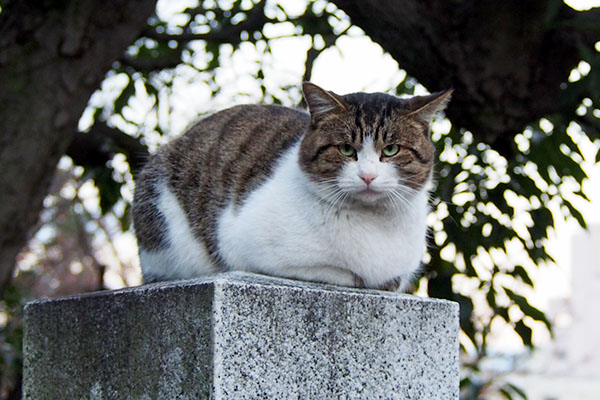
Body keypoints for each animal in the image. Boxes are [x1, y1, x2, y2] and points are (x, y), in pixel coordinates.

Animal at [132, 83, 450, 292]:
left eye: (392, 149)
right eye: (346, 149)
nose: (368, 176)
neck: (375, 224)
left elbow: (391, 280)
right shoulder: (244, 245)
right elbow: (346, 274)